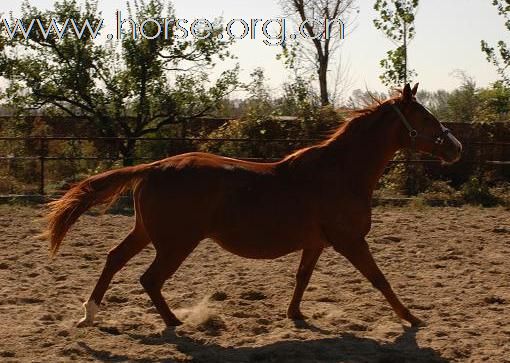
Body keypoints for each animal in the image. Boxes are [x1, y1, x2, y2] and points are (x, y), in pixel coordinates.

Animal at [44, 84, 462, 330]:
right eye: (425, 116)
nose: (455, 147)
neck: (340, 172)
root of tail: (154, 167)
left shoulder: (316, 244)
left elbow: (302, 278)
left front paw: (296, 315)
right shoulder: (350, 241)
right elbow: (379, 279)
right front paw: (412, 318)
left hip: (147, 233)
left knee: (114, 258)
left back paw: (90, 313)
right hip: (176, 243)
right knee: (149, 279)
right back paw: (175, 322)